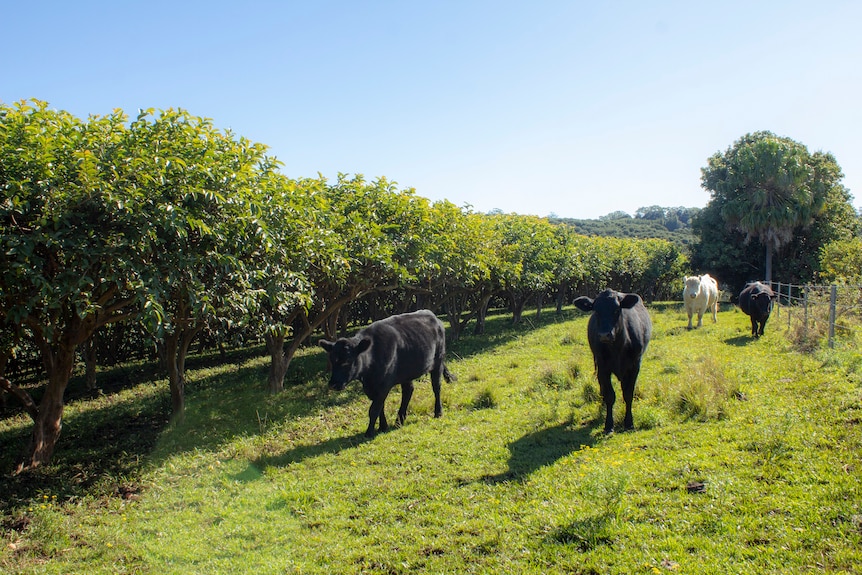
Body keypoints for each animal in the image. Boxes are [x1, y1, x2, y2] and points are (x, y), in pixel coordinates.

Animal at [320, 310, 456, 436]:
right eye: (332, 360)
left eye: (347, 361)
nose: (333, 384)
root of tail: (432, 316)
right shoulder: (370, 387)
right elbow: (380, 406)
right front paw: (383, 426)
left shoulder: (384, 384)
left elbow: (374, 408)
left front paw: (369, 432)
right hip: (407, 371)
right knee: (408, 390)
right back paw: (399, 420)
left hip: (438, 360)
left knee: (436, 387)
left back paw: (438, 412)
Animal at [572, 290, 656, 434]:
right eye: (596, 310)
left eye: (617, 310)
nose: (604, 335)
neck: (618, 348)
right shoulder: (603, 367)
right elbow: (610, 395)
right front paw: (609, 425)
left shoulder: (635, 366)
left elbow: (628, 393)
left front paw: (629, 422)